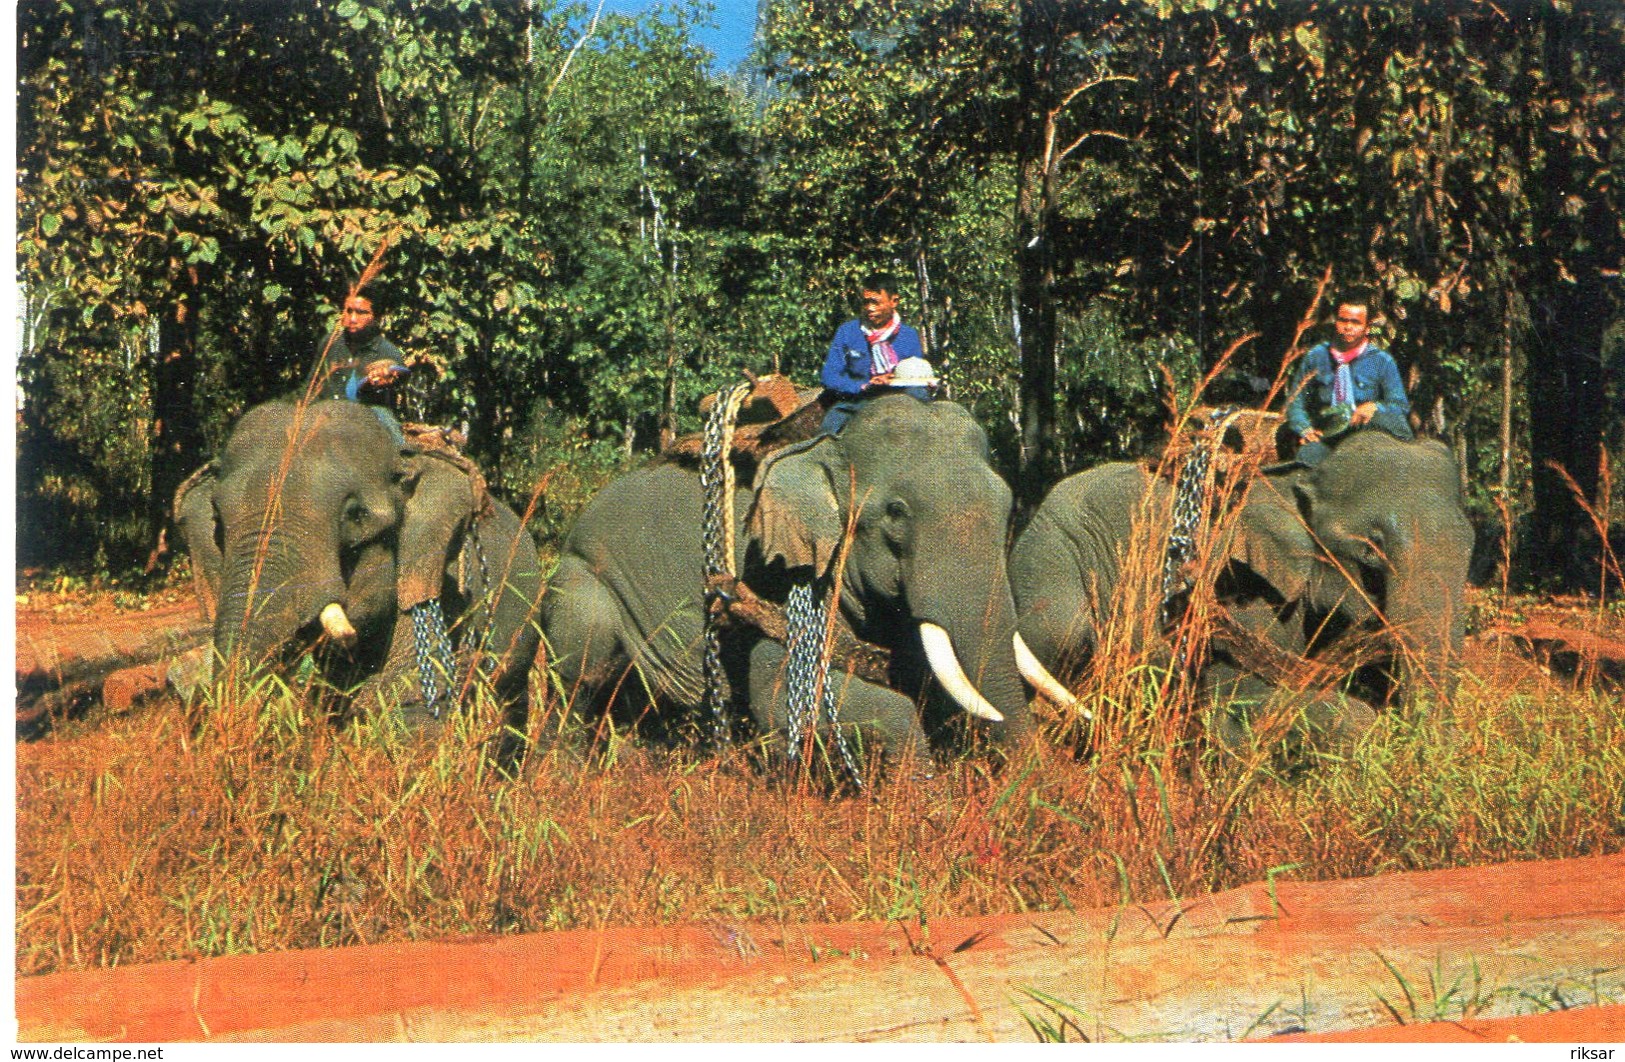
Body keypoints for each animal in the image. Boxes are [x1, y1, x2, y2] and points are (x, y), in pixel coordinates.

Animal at [539, 394, 1059, 769]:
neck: (827, 447)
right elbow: (780, 694)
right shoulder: (770, 576)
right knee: (577, 677)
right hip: (582, 582)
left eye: (1008, 503)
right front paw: (926, 798)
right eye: (895, 512)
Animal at [1007, 428, 1482, 753]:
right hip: (1049, 556)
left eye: (1472, 543)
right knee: (1059, 632)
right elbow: (1237, 689)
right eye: (1369, 552)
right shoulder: (1235, 579)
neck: (1297, 478)